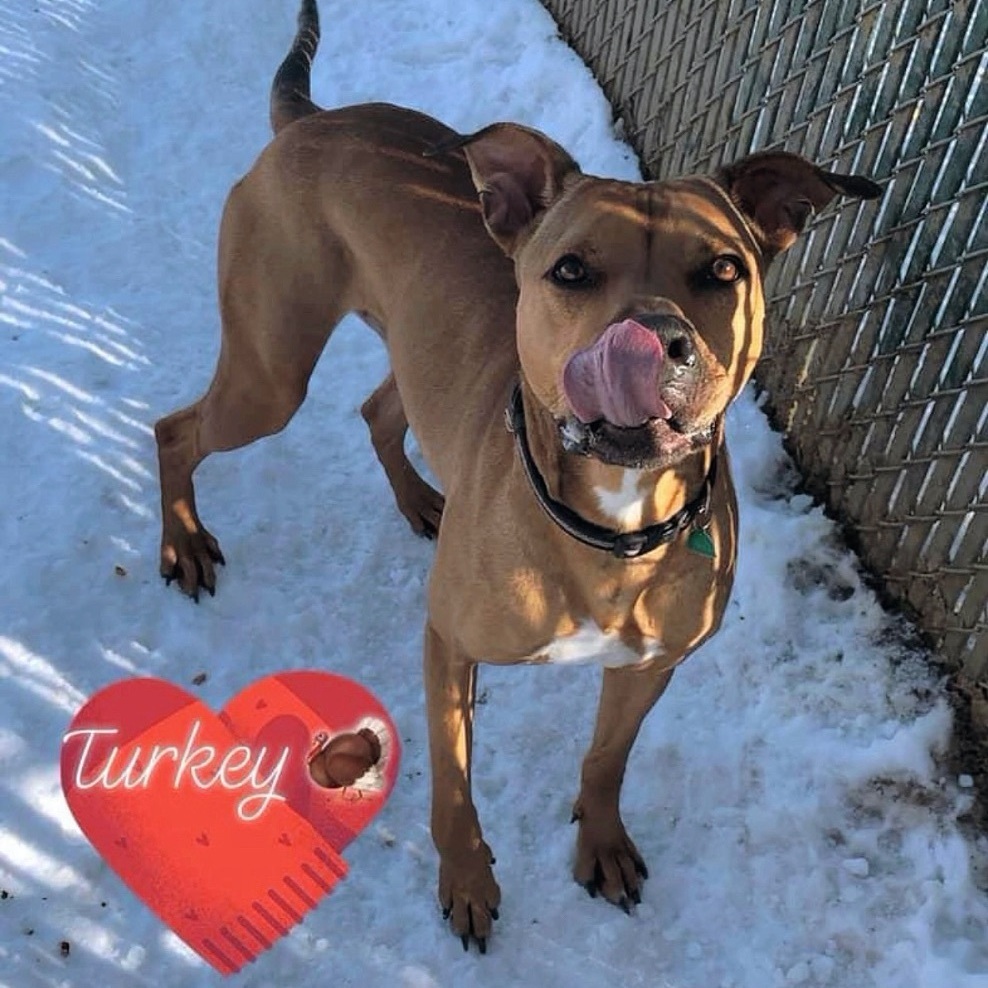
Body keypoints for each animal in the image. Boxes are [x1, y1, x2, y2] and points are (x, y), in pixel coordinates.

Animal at [154, 1, 880, 956]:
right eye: (571, 269)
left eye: (723, 268)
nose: (655, 340)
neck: (612, 529)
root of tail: (315, 120)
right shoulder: (450, 644)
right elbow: (453, 781)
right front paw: (466, 881)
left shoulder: (651, 665)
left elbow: (607, 758)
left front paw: (600, 842)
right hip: (268, 376)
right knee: (175, 430)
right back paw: (185, 544)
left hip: (404, 348)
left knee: (378, 412)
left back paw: (423, 499)